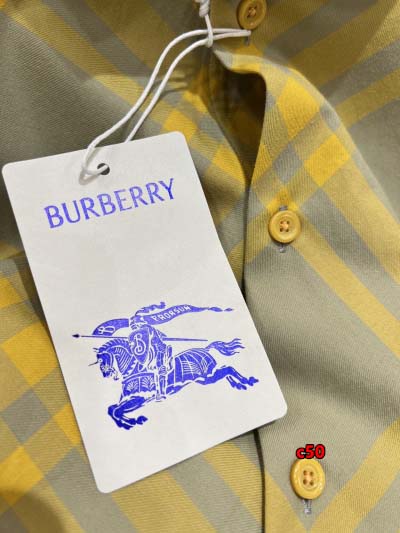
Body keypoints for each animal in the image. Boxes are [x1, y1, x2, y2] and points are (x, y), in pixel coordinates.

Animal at [93, 337, 258, 429]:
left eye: (103, 361)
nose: (105, 374)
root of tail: (205, 349)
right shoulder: (132, 400)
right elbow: (112, 409)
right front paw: (128, 422)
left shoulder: (139, 399)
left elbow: (116, 411)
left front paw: (132, 421)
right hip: (206, 378)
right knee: (226, 370)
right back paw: (240, 384)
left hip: (206, 377)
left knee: (228, 369)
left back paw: (247, 381)